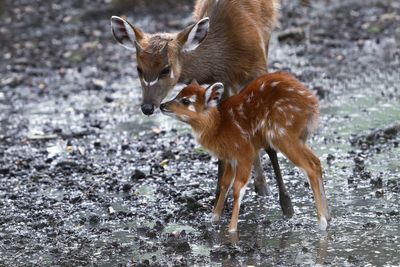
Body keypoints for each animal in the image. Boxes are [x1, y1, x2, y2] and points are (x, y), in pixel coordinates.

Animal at [111, 0, 292, 216]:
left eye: (165, 69)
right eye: (139, 68)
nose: (147, 107)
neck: (225, 54)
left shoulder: (256, 69)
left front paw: (286, 205)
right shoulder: (221, 83)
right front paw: (218, 201)